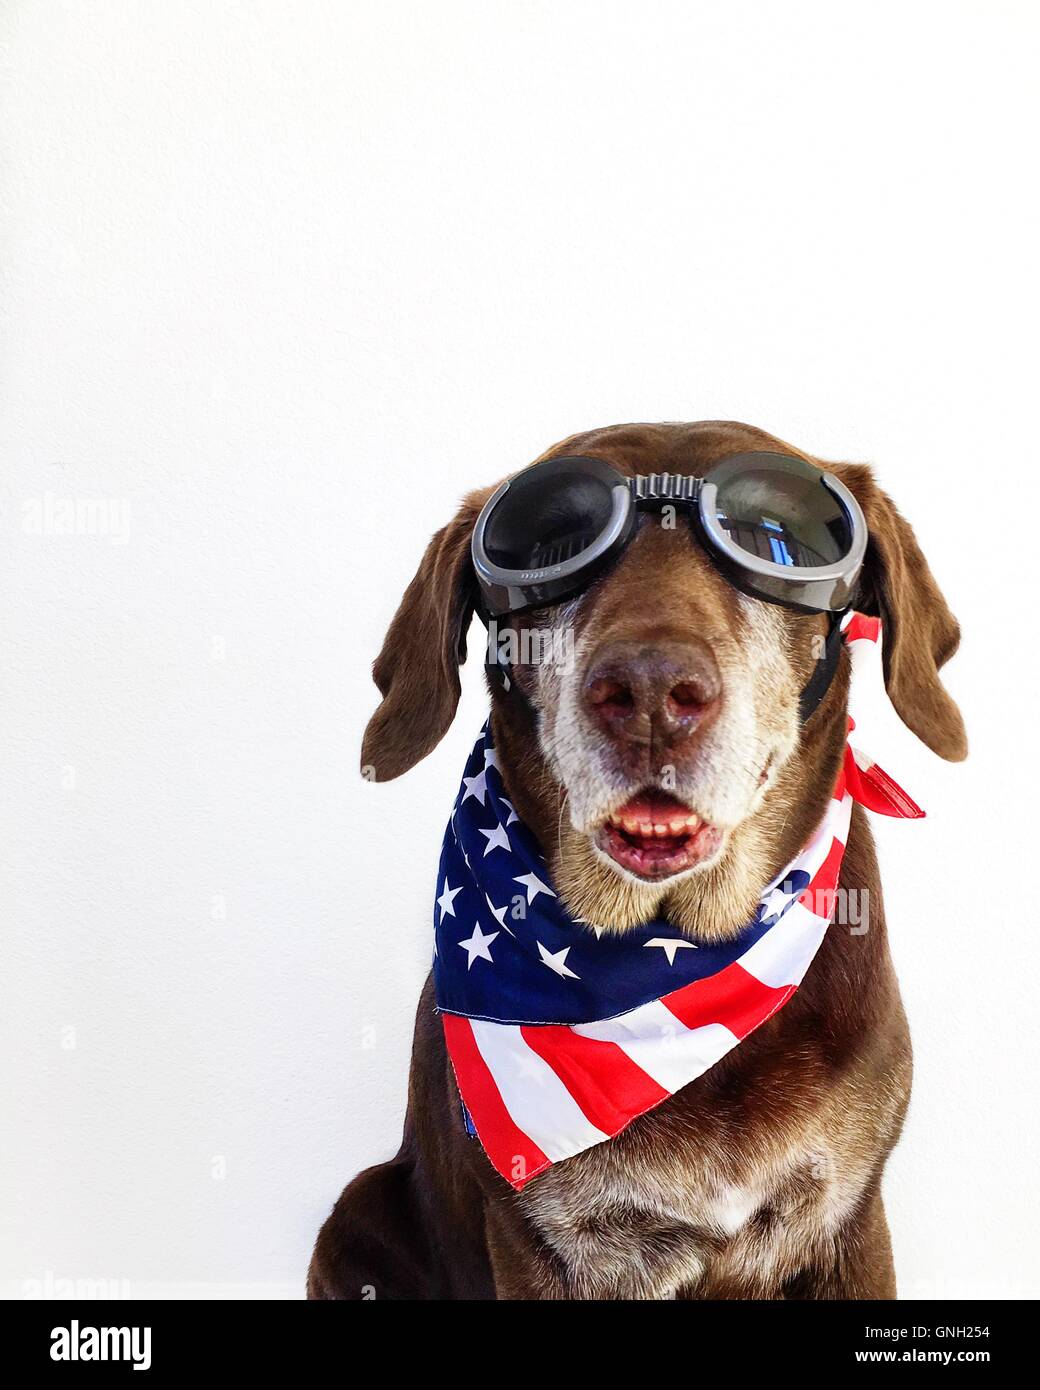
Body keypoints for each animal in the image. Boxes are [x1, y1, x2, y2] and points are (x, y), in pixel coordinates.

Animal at [311, 417, 967, 1295]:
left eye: (775, 540)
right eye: (551, 546)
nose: (652, 692)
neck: (676, 955)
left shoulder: (849, 1220)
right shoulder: (545, 1243)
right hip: (353, 1218)